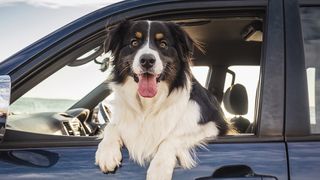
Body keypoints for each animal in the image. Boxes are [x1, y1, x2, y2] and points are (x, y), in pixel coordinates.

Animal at [94, 20, 229, 180]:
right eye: (134, 42)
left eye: (163, 44)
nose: (147, 60)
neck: (148, 105)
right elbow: (111, 126)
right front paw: (106, 153)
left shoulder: (213, 126)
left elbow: (171, 138)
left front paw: (159, 169)